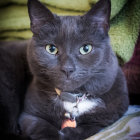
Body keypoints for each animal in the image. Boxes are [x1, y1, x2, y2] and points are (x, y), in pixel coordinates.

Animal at [0, 0, 129, 139]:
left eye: (86, 48)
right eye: (51, 48)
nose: (68, 68)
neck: (73, 98)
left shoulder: (106, 117)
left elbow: (88, 127)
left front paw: (67, 133)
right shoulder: (28, 115)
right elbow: (42, 128)